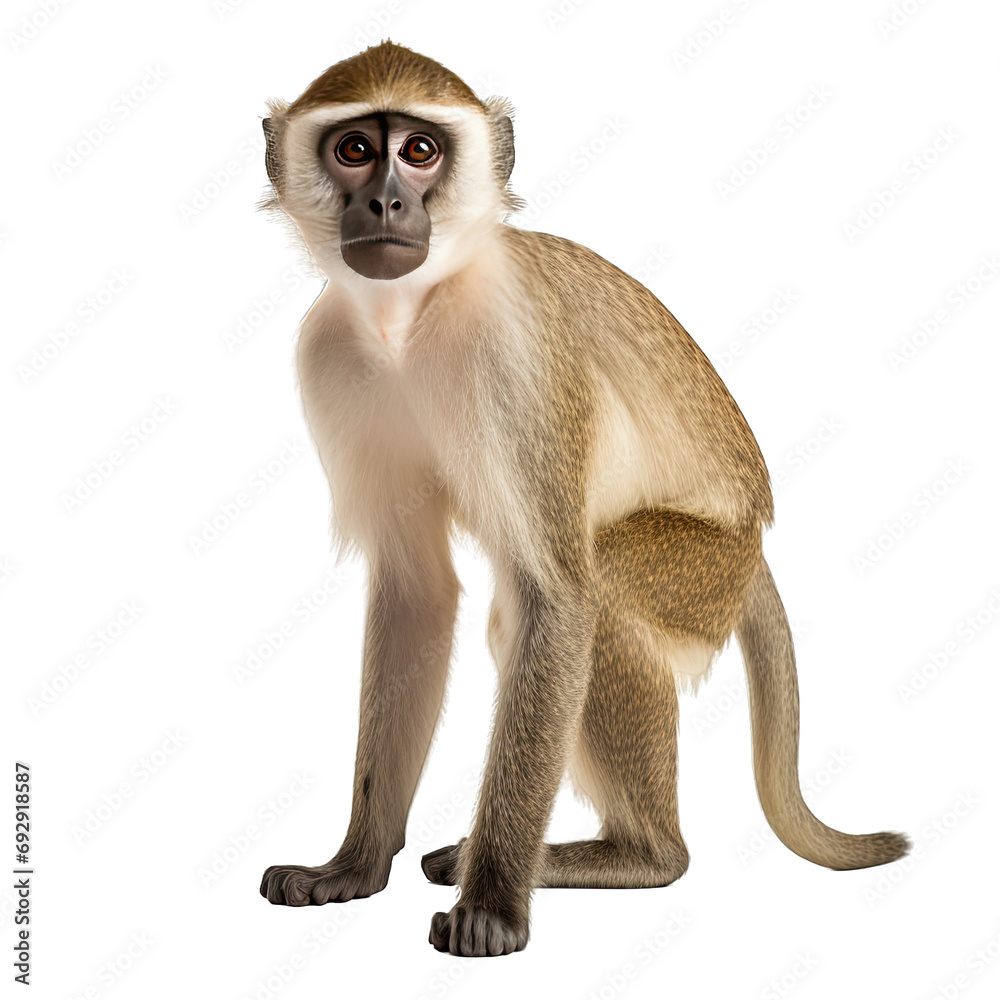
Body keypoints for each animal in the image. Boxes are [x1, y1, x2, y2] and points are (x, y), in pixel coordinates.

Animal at [256, 41, 909, 957]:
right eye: (354, 149)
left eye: (419, 151)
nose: (385, 199)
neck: (410, 317)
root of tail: (754, 543)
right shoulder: (331, 354)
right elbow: (417, 594)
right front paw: (352, 864)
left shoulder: (511, 351)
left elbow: (560, 599)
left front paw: (494, 903)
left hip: (702, 571)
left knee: (600, 597)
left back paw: (637, 854)